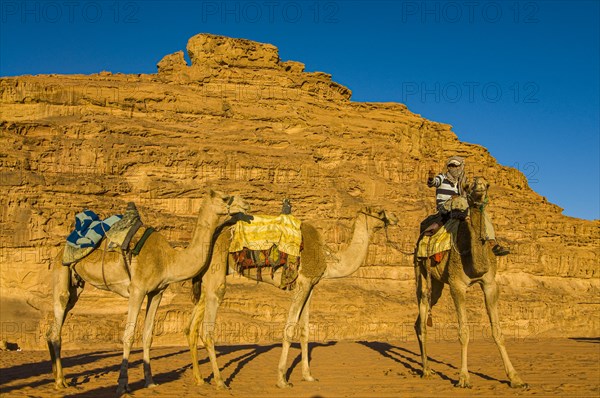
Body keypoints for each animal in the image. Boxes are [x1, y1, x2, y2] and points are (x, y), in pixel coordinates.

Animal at [45, 190, 248, 394]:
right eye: (225, 198)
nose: (245, 205)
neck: (167, 260)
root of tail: (62, 249)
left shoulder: (157, 292)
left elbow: (148, 336)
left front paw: (150, 381)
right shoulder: (137, 289)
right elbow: (128, 336)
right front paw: (122, 385)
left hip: (76, 285)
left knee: (55, 325)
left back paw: (60, 379)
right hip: (61, 270)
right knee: (58, 321)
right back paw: (59, 382)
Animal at [185, 208, 396, 388]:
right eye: (379, 212)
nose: (394, 217)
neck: (329, 260)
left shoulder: (311, 287)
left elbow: (305, 332)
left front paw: (308, 376)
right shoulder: (302, 284)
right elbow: (289, 330)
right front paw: (282, 380)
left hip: (206, 280)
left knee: (191, 327)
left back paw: (199, 379)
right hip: (217, 270)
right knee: (208, 328)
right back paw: (220, 381)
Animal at [414, 177, 528, 388]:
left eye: (487, 183)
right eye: (468, 186)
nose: (479, 185)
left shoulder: (490, 284)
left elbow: (498, 332)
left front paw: (516, 378)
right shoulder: (457, 285)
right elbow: (464, 332)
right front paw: (463, 378)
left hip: (438, 284)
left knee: (421, 317)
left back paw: (426, 367)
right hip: (420, 269)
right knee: (423, 307)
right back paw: (426, 370)